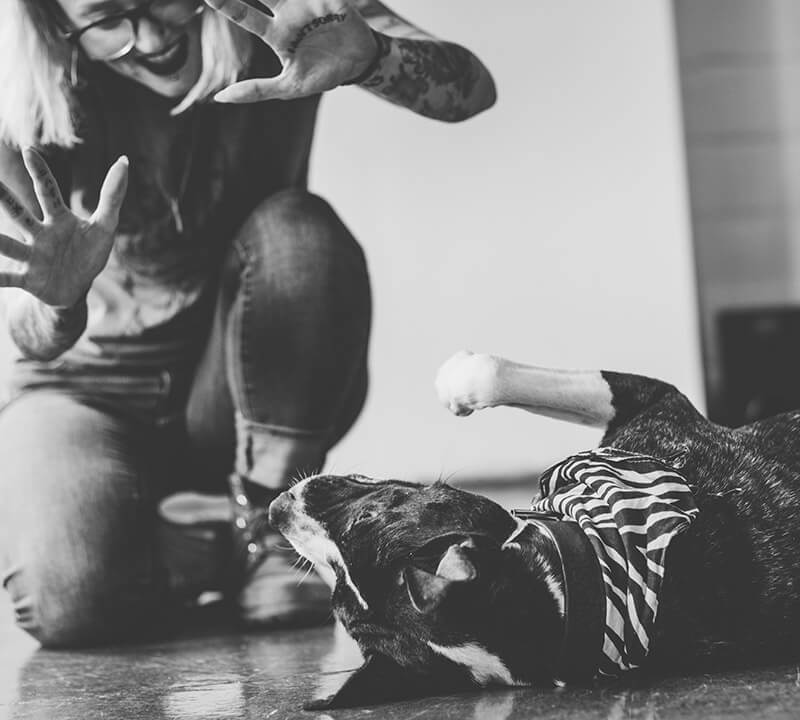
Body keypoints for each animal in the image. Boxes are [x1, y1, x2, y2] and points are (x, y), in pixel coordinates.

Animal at [268, 350, 800, 708]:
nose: (275, 510)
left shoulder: (650, 402)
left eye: (368, 519)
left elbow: (491, 373)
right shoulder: (656, 402)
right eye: (339, 598)